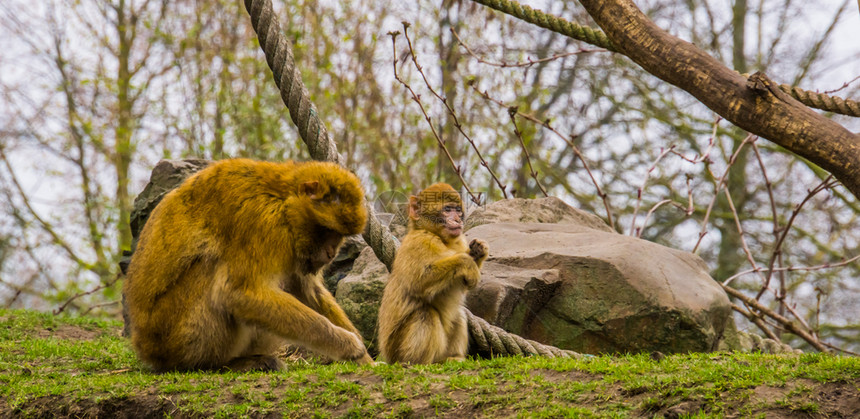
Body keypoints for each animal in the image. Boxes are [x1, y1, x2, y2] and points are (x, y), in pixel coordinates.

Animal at [123, 159, 372, 372]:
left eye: (339, 235)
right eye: (328, 230)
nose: (331, 253)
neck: (283, 199)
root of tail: (144, 347)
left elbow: (306, 290)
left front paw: (366, 360)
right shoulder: (263, 223)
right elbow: (238, 293)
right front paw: (348, 345)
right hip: (175, 337)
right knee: (211, 268)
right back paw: (219, 364)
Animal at [378, 184, 488, 364]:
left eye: (458, 210)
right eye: (447, 209)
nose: (457, 220)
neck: (440, 238)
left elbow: (464, 284)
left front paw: (479, 251)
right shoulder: (420, 242)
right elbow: (419, 282)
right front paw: (466, 261)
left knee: (458, 314)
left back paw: (453, 357)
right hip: (396, 349)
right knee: (425, 313)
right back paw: (416, 362)